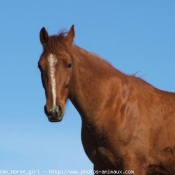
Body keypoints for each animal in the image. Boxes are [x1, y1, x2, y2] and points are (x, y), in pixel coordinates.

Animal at [37, 25, 175, 175]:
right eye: (40, 66)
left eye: (69, 64)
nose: (53, 110)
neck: (117, 108)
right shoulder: (100, 167)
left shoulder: (133, 164)